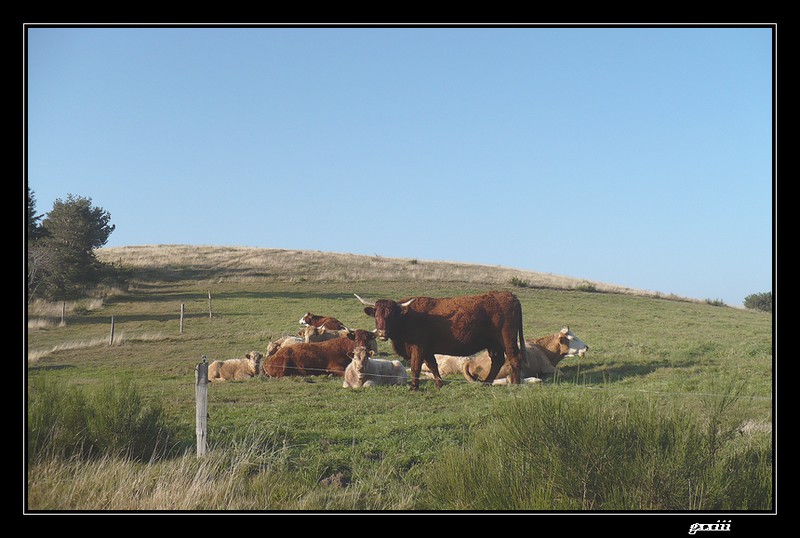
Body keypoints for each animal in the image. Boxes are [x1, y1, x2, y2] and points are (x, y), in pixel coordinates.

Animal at [356, 288, 524, 390]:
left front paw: (413, 387)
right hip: (493, 344)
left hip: (507, 339)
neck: (408, 317)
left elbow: (416, 366)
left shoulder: (418, 347)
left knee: (514, 358)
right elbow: (432, 365)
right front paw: (439, 383)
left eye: (391, 315)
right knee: (497, 361)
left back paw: (515, 384)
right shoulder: (427, 349)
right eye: (376, 315)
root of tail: (510, 295)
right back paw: (486, 383)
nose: (382, 332)